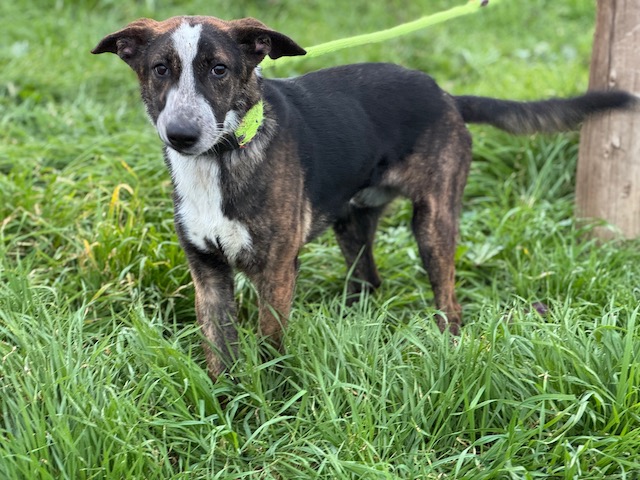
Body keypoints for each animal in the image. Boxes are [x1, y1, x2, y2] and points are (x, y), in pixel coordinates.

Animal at [92, 15, 637, 379]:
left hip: (433, 223)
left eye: (220, 70)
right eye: (160, 69)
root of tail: (446, 95)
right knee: (369, 281)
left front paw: (272, 403)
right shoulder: (209, 275)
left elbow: (271, 346)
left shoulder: (276, 271)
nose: (181, 134)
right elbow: (219, 354)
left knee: (449, 300)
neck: (222, 157)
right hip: (352, 223)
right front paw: (228, 407)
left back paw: (450, 346)